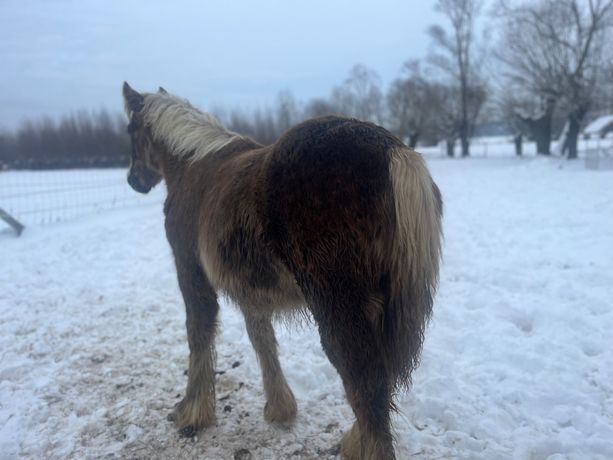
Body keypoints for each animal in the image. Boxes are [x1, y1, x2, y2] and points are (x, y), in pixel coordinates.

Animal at [123, 82, 440, 460]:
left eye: (130, 131)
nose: (134, 180)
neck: (191, 163)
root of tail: (392, 149)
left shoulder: (191, 272)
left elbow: (198, 334)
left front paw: (191, 411)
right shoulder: (250, 291)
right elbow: (262, 340)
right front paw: (280, 408)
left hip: (340, 309)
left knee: (367, 385)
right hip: (379, 307)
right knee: (380, 381)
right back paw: (354, 440)